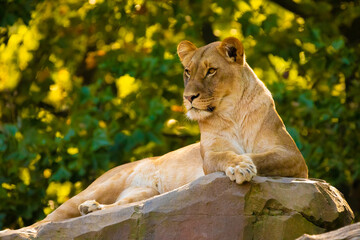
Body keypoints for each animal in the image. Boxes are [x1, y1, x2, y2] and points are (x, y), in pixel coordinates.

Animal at [31, 37, 306, 225]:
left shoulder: (293, 157)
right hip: (103, 185)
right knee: (46, 220)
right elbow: (228, 155)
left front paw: (244, 165)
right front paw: (239, 166)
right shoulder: (210, 156)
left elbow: (260, 156)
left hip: (146, 194)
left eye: (211, 71)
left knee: (122, 209)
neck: (233, 111)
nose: (188, 97)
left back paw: (92, 209)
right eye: (187, 71)